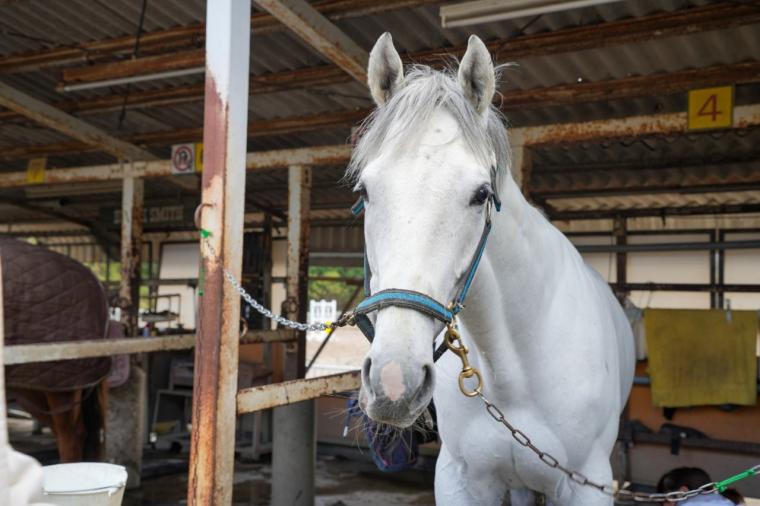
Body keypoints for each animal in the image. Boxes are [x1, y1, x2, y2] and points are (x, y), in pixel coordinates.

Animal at [348, 33, 635, 505]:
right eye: (366, 191)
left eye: (481, 193)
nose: (394, 382)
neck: (513, 375)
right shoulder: (460, 477)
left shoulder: (587, 484)